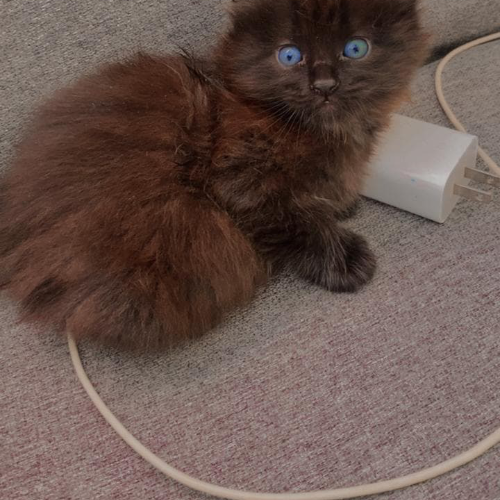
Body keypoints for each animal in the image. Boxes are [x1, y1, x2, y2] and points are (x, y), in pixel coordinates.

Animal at [0, 0, 429, 349]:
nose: (324, 85)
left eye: (355, 49)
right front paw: (345, 259)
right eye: (290, 55)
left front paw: (343, 205)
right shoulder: (240, 180)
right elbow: (299, 222)